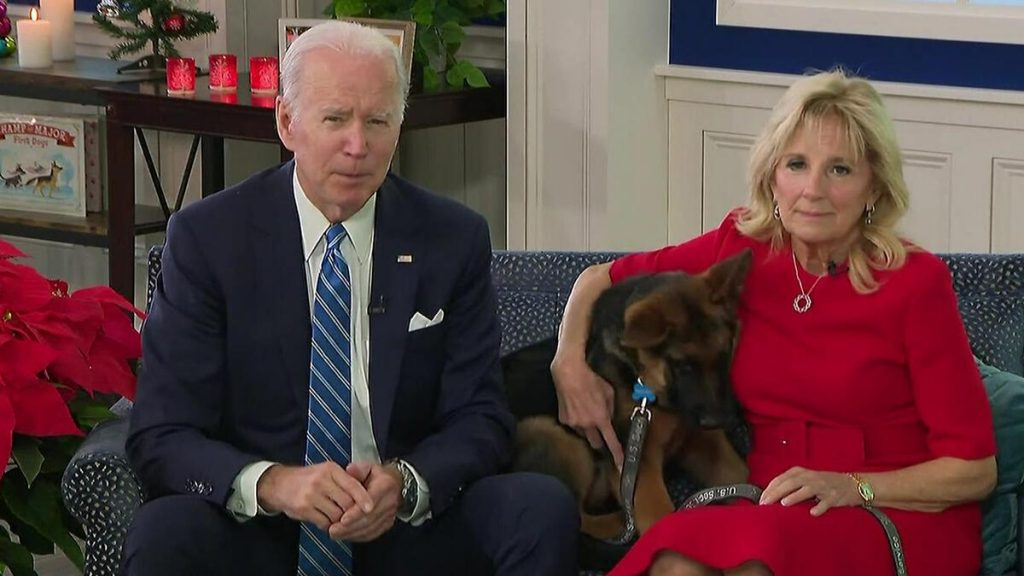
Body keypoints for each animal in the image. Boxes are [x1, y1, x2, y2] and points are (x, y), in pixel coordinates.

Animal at [503, 249, 753, 544]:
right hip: (549, 432)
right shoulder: (640, 464)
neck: (646, 381)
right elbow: (660, 518)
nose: (718, 420)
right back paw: (618, 522)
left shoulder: (701, 441)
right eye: (682, 366)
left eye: (724, 355)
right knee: (575, 515)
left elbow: (741, 474)